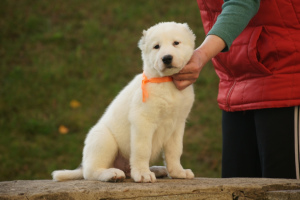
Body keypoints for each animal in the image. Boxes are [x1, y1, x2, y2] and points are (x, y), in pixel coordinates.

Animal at [51, 21, 197, 183]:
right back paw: (112, 174)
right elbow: (142, 149)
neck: (166, 81)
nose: (166, 58)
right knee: (90, 172)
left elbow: (175, 151)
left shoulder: (177, 124)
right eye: (156, 46)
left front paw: (178, 172)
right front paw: (142, 174)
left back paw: (156, 169)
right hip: (104, 139)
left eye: (176, 43)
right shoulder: (143, 121)